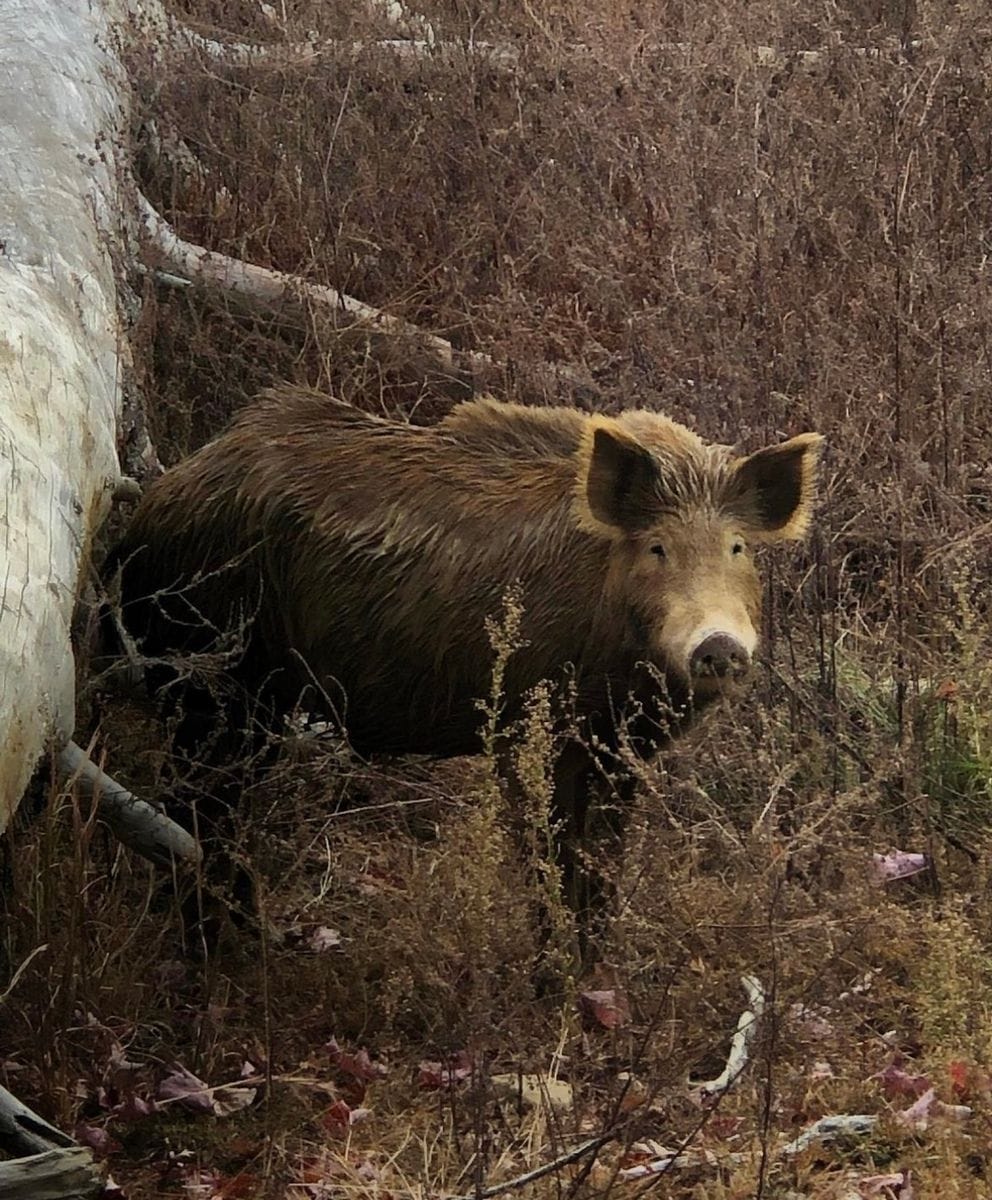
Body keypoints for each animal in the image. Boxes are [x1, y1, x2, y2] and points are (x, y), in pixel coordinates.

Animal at [111, 386, 822, 938]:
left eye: (737, 547)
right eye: (657, 547)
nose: (719, 644)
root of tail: (154, 506)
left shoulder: (617, 753)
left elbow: (601, 869)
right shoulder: (533, 734)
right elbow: (552, 862)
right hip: (212, 684)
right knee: (192, 810)